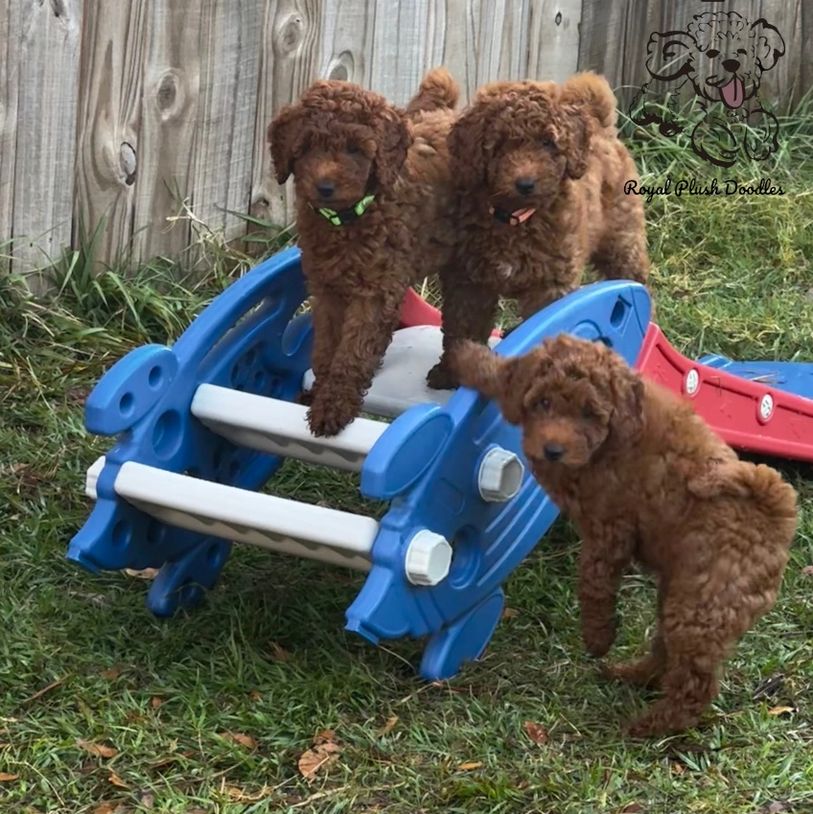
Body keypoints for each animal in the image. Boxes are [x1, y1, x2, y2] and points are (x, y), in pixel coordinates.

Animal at [270, 70, 460, 440]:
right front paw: (319, 392)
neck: (347, 220)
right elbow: (327, 348)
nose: (324, 187)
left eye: (355, 149)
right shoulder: (326, 289)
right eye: (308, 148)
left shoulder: (374, 292)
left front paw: (333, 406)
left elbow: (352, 352)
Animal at [428, 71, 652, 390]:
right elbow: (462, 328)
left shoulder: (549, 284)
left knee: (632, 273)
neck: (515, 219)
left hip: (622, 235)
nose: (525, 184)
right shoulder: (469, 281)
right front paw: (450, 372)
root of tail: (600, 123)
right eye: (501, 145)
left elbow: (545, 324)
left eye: (548, 143)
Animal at [454, 336, 796, 740]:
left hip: (704, 607)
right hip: (681, 594)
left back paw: (651, 725)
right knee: (667, 650)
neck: (612, 437)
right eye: (544, 402)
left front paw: (597, 637)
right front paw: (468, 357)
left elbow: (594, 581)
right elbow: (504, 376)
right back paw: (632, 675)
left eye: (589, 413)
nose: (553, 449)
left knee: (693, 682)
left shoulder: (609, 524)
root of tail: (776, 511)